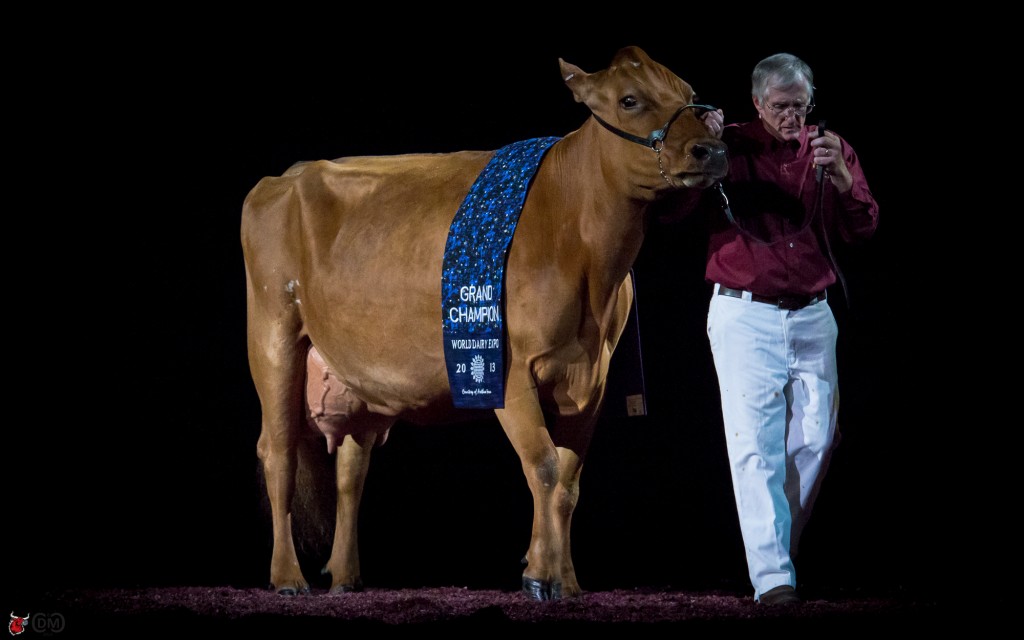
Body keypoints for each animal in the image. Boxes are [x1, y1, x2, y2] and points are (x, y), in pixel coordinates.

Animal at [241, 46, 729, 598]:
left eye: (690, 95)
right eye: (630, 99)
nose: (711, 149)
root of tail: (284, 177)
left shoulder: (594, 378)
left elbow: (568, 482)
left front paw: (566, 580)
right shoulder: (510, 373)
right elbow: (542, 467)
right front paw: (540, 574)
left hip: (359, 377)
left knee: (351, 465)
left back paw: (345, 577)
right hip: (273, 336)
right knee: (279, 453)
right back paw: (288, 577)